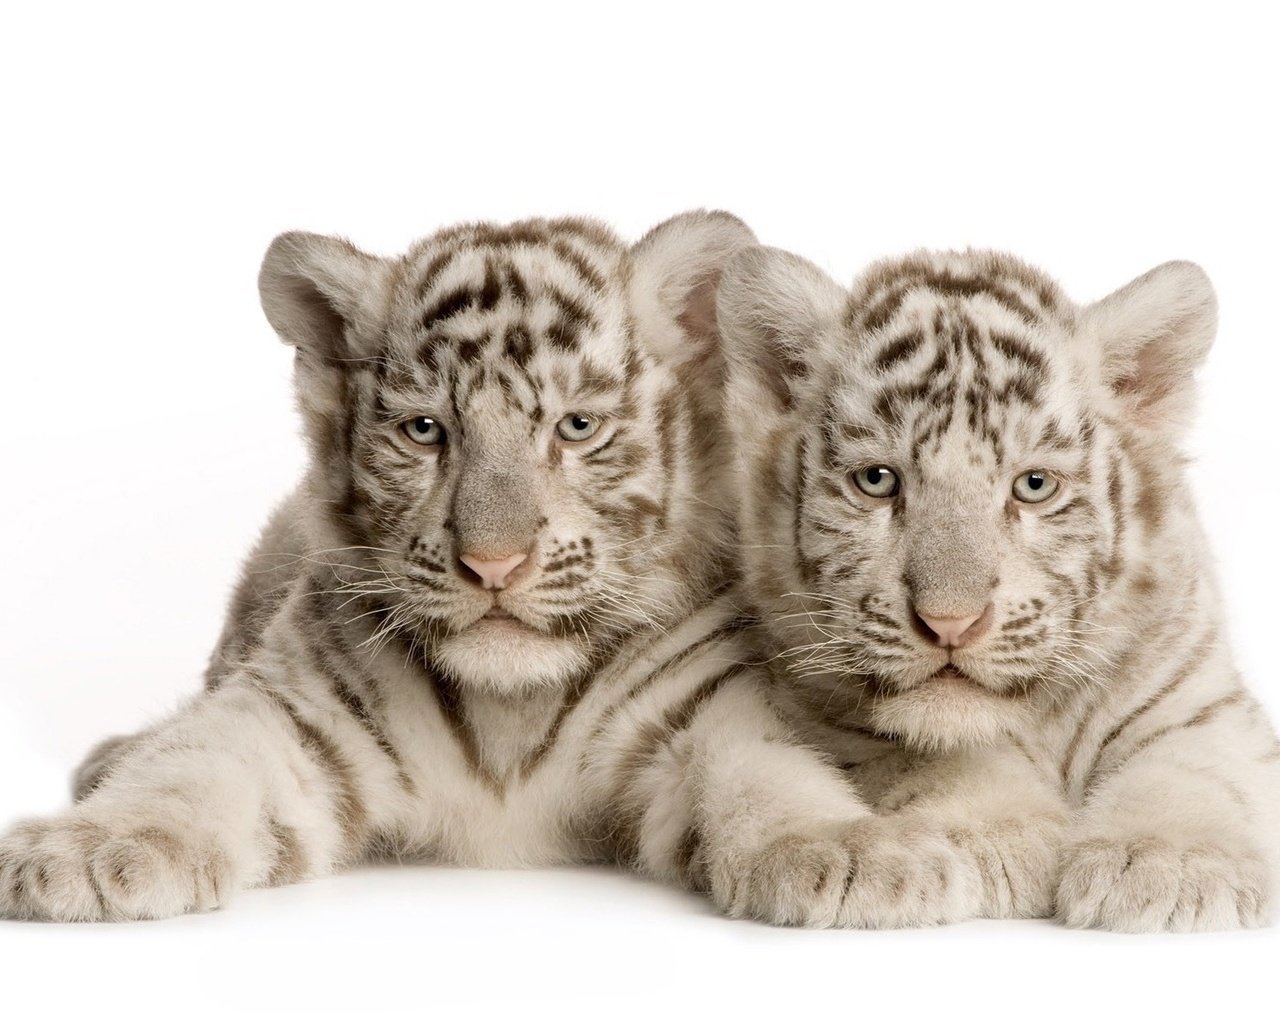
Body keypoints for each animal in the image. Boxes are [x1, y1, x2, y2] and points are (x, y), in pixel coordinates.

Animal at [0, 212, 882, 924]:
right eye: (425, 431)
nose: (493, 564)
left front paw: (846, 853)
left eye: (576, 427)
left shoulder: (706, 709)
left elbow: (767, 771)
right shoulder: (291, 709)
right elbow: (190, 766)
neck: (510, 714)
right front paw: (85, 851)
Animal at [715, 244, 1280, 931]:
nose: (950, 623)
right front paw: (996, 837)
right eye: (877, 480)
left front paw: (1170, 863)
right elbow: (942, 759)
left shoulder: (1200, 697)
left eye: (1034, 485)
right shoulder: (823, 709)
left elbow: (1196, 767)